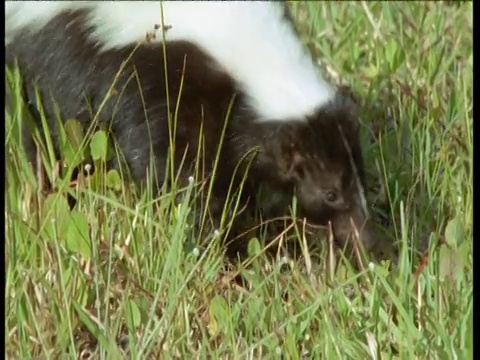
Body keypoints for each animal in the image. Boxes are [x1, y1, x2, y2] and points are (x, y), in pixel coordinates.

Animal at [4, 1, 382, 258]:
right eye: (330, 192)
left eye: (359, 177)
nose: (368, 245)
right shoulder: (155, 82)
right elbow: (179, 173)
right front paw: (222, 245)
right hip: (44, 65)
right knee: (46, 137)